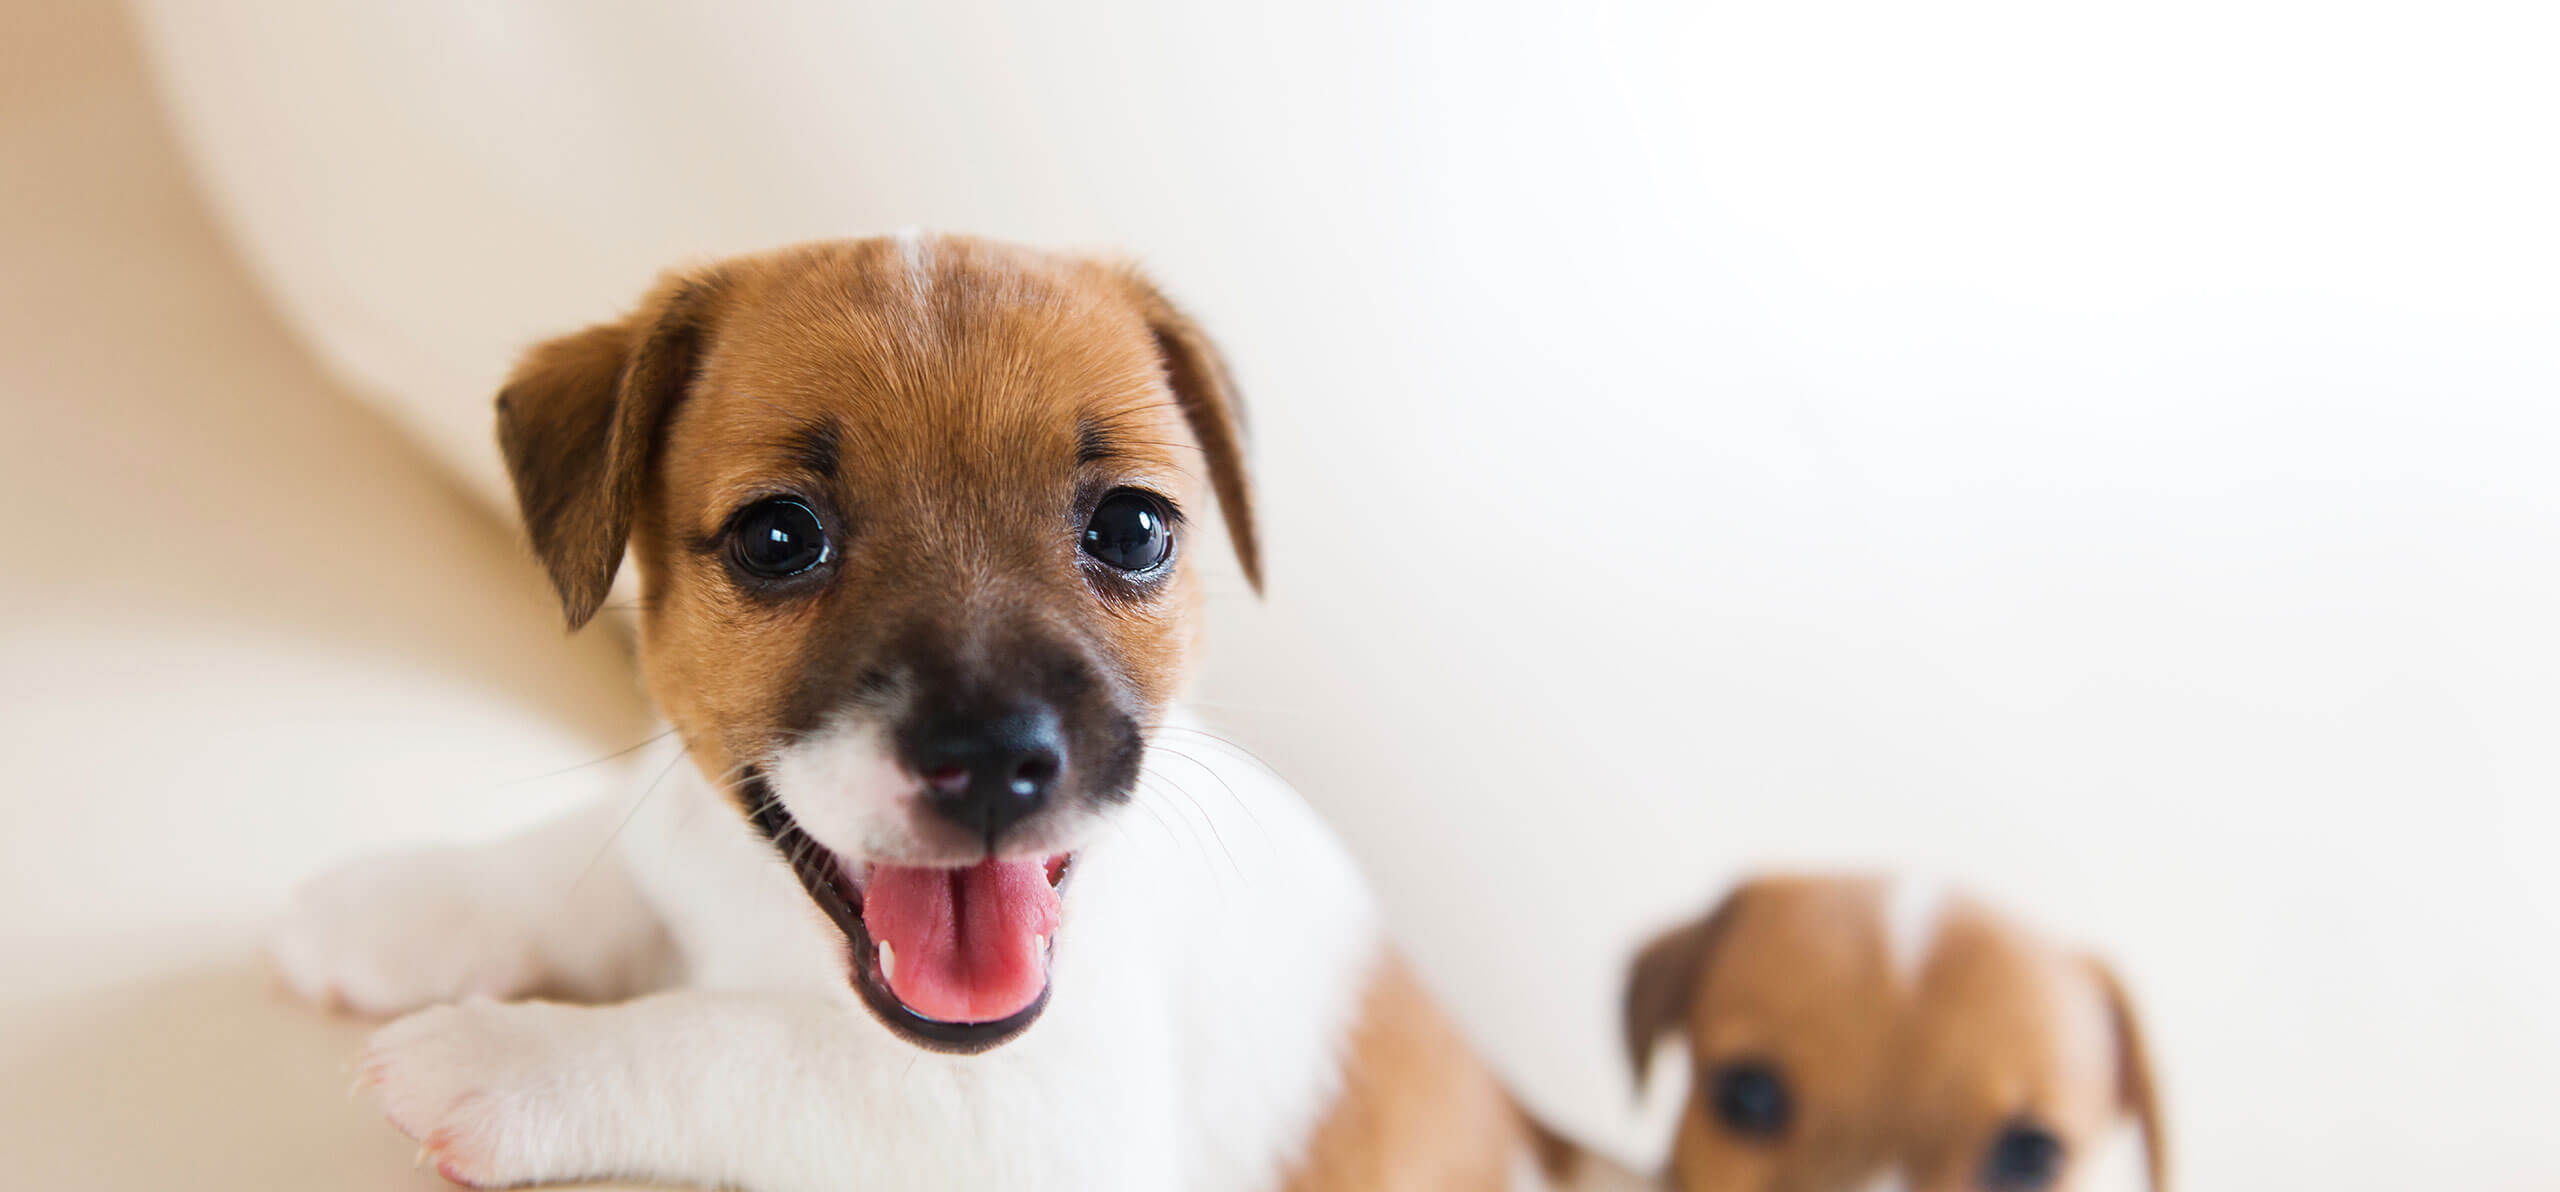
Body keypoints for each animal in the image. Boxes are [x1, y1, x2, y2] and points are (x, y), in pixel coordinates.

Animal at [272, 235, 1525, 1192]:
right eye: (779, 537)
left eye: (1132, 529)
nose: (996, 760)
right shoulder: (677, 839)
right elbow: (588, 859)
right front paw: (404, 900)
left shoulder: (1016, 1120)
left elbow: (740, 1042)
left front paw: (514, 1051)